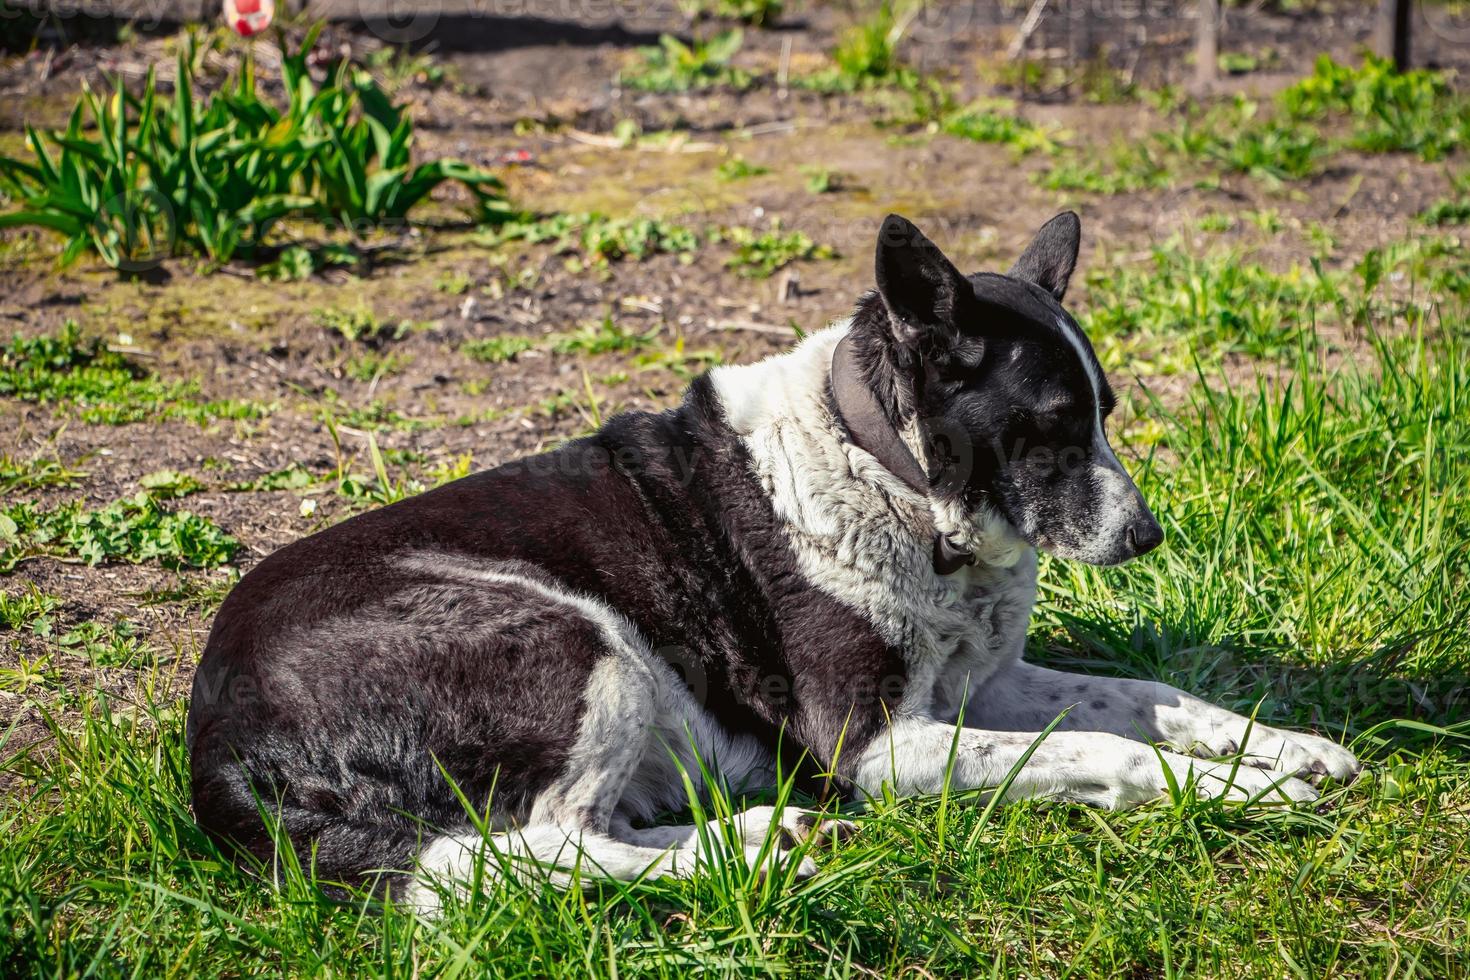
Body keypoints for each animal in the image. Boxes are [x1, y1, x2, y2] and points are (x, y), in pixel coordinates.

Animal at [189, 211, 1358, 910]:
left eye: (1107, 409)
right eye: (1056, 423)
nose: (1148, 536)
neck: (895, 475)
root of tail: (215, 754)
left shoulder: (989, 684)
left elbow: (1151, 697)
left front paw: (1283, 749)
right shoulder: (877, 745)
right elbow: (1105, 752)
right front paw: (1242, 792)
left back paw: (770, 837)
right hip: (575, 640)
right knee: (543, 849)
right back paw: (759, 842)